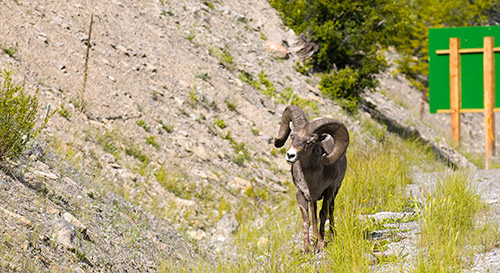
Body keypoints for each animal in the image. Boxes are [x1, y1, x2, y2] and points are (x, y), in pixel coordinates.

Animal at [274, 104, 348, 251]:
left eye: (311, 142)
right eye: (292, 136)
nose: (290, 155)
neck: (312, 180)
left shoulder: (329, 191)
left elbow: (323, 214)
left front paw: (320, 245)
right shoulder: (302, 193)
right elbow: (307, 219)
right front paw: (308, 248)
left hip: (335, 192)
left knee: (331, 211)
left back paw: (332, 235)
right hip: (313, 199)